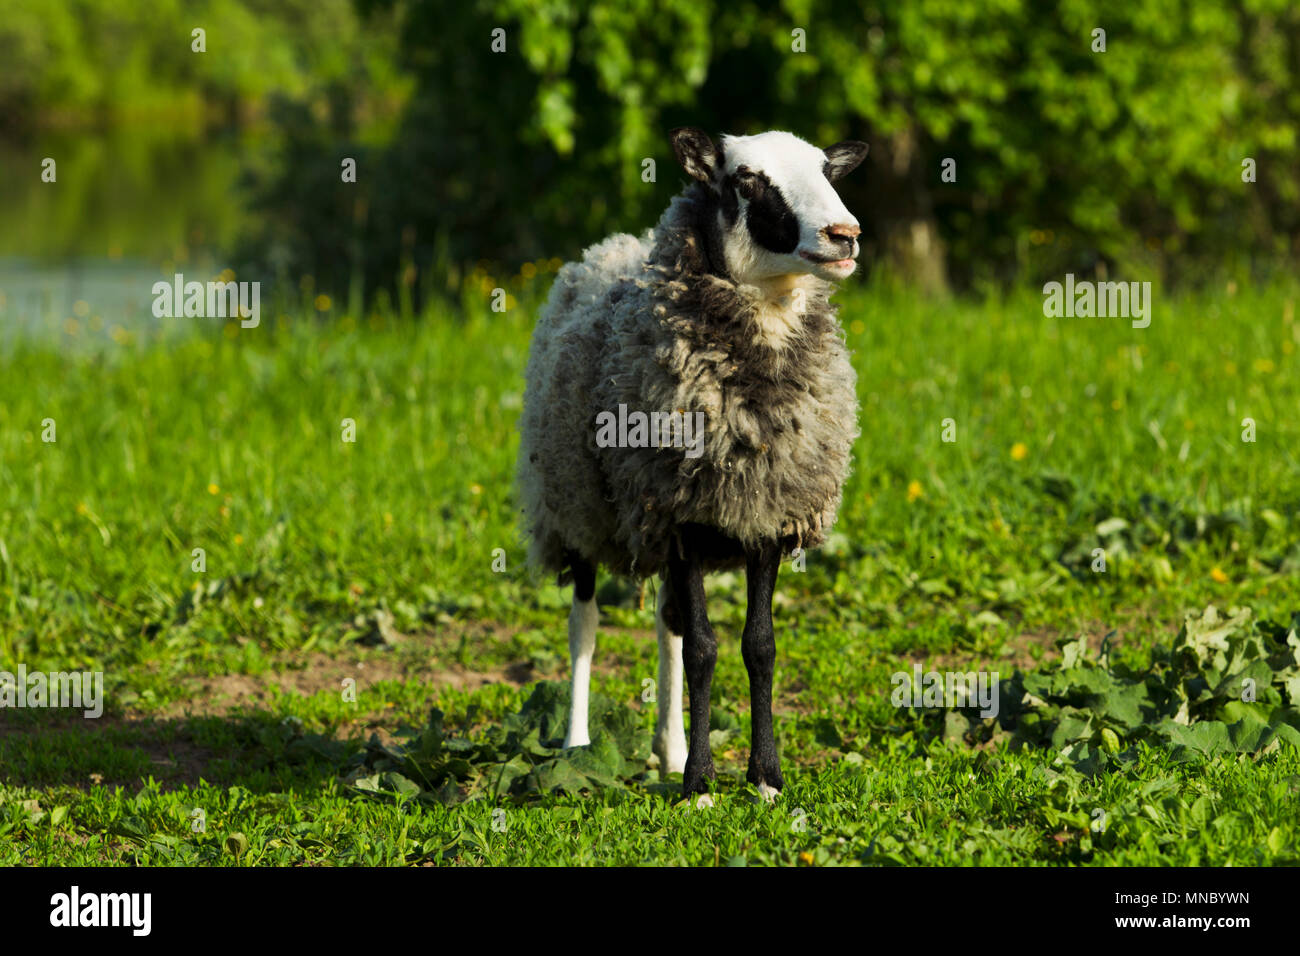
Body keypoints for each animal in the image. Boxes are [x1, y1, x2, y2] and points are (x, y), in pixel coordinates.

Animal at [512, 125, 868, 801]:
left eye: (826, 170)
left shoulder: (764, 515)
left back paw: (669, 749)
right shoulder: (676, 515)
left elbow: (758, 646)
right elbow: (704, 649)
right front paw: (701, 786)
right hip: (576, 507)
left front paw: (764, 779)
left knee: (667, 623)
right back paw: (577, 745)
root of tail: (611, 245)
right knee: (585, 624)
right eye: (746, 180)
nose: (845, 234)